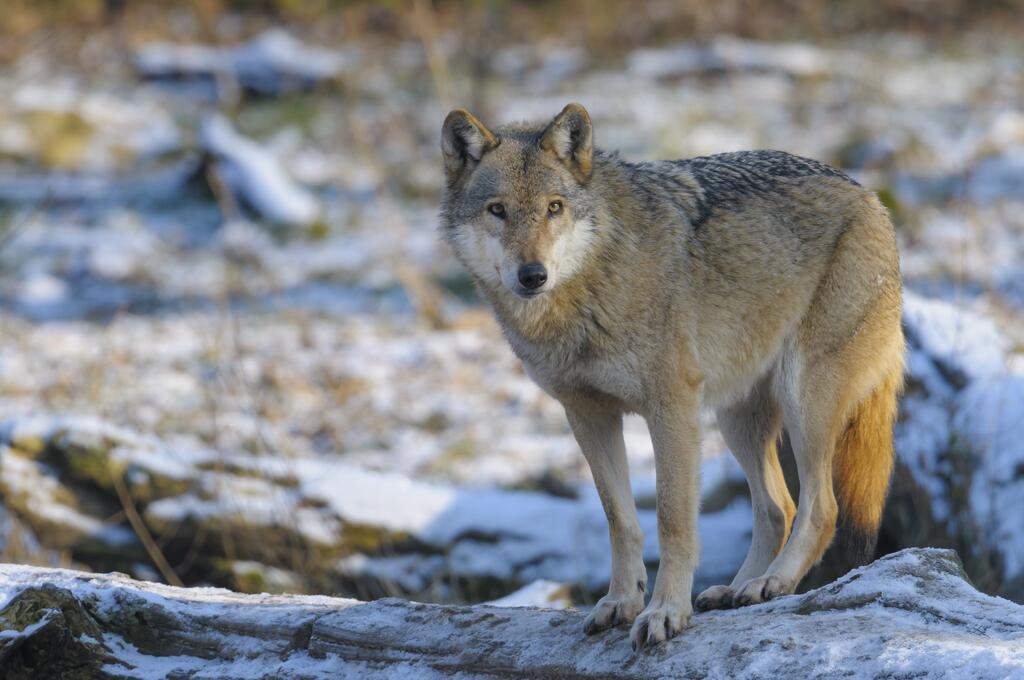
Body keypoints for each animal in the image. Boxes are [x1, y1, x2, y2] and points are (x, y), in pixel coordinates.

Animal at [439, 103, 904, 650]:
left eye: (554, 207)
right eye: (498, 210)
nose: (533, 275)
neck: (591, 285)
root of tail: (870, 196)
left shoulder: (672, 410)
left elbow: (672, 520)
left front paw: (665, 612)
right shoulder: (587, 416)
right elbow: (620, 519)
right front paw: (620, 602)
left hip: (802, 403)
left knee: (821, 508)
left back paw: (772, 582)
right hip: (736, 420)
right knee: (778, 508)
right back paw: (738, 589)